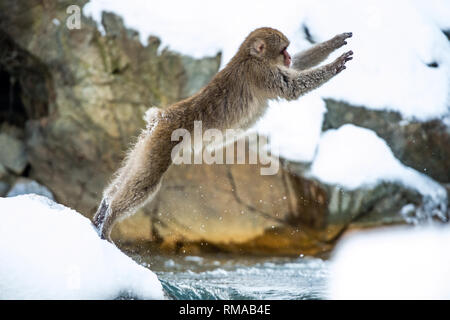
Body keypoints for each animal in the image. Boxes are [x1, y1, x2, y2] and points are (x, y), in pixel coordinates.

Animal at [93, 28, 354, 242]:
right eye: (283, 50)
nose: (287, 57)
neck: (249, 56)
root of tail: (161, 116)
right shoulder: (260, 73)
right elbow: (292, 87)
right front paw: (335, 63)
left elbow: (298, 67)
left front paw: (333, 42)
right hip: (162, 142)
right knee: (147, 181)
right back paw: (110, 218)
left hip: (147, 142)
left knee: (131, 174)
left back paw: (103, 211)